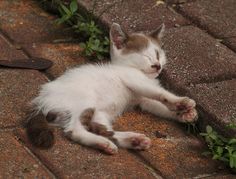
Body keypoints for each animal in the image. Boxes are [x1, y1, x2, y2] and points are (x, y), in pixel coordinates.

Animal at [26, 23, 197, 155]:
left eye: (158, 54)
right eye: (145, 56)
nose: (157, 65)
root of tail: (41, 100)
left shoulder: (143, 99)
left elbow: (158, 105)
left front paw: (185, 114)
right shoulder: (135, 80)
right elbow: (161, 93)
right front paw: (182, 102)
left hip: (99, 114)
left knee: (101, 129)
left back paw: (133, 140)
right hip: (84, 101)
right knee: (75, 130)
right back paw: (105, 143)